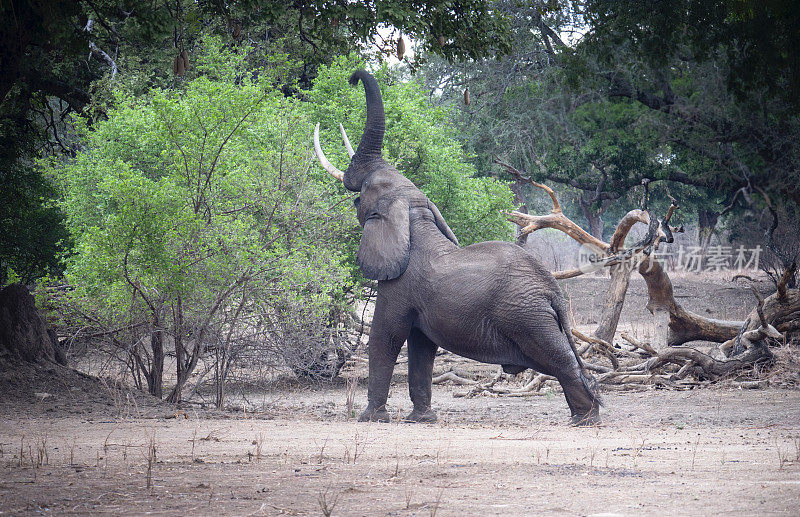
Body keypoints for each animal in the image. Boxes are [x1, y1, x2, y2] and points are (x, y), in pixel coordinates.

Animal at [312, 69, 600, 424]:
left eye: (363, 190)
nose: (353, 79)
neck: (413, 218)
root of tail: (553, 291)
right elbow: (421, 347)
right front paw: (422, 420)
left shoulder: (399, 286)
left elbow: (385, 337)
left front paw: (371, 418)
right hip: (533, 313)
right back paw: (584, 416)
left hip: (526, 315)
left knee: (559, 359)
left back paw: (584, 421)